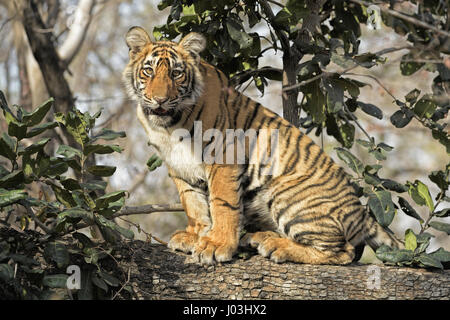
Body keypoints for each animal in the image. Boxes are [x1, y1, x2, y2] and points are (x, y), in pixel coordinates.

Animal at [121, 26, 402, 264]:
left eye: (176, 73)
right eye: (148, 71)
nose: (159, 99)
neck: (168, 125)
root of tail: (361, 213)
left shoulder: (223, 157)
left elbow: (222, 204)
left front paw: (216, 245)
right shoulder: (178, 166)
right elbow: (193, 203)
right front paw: (195, 236)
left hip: (285, 192)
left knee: (344, 252)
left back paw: (276, 246)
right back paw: (260, 238)